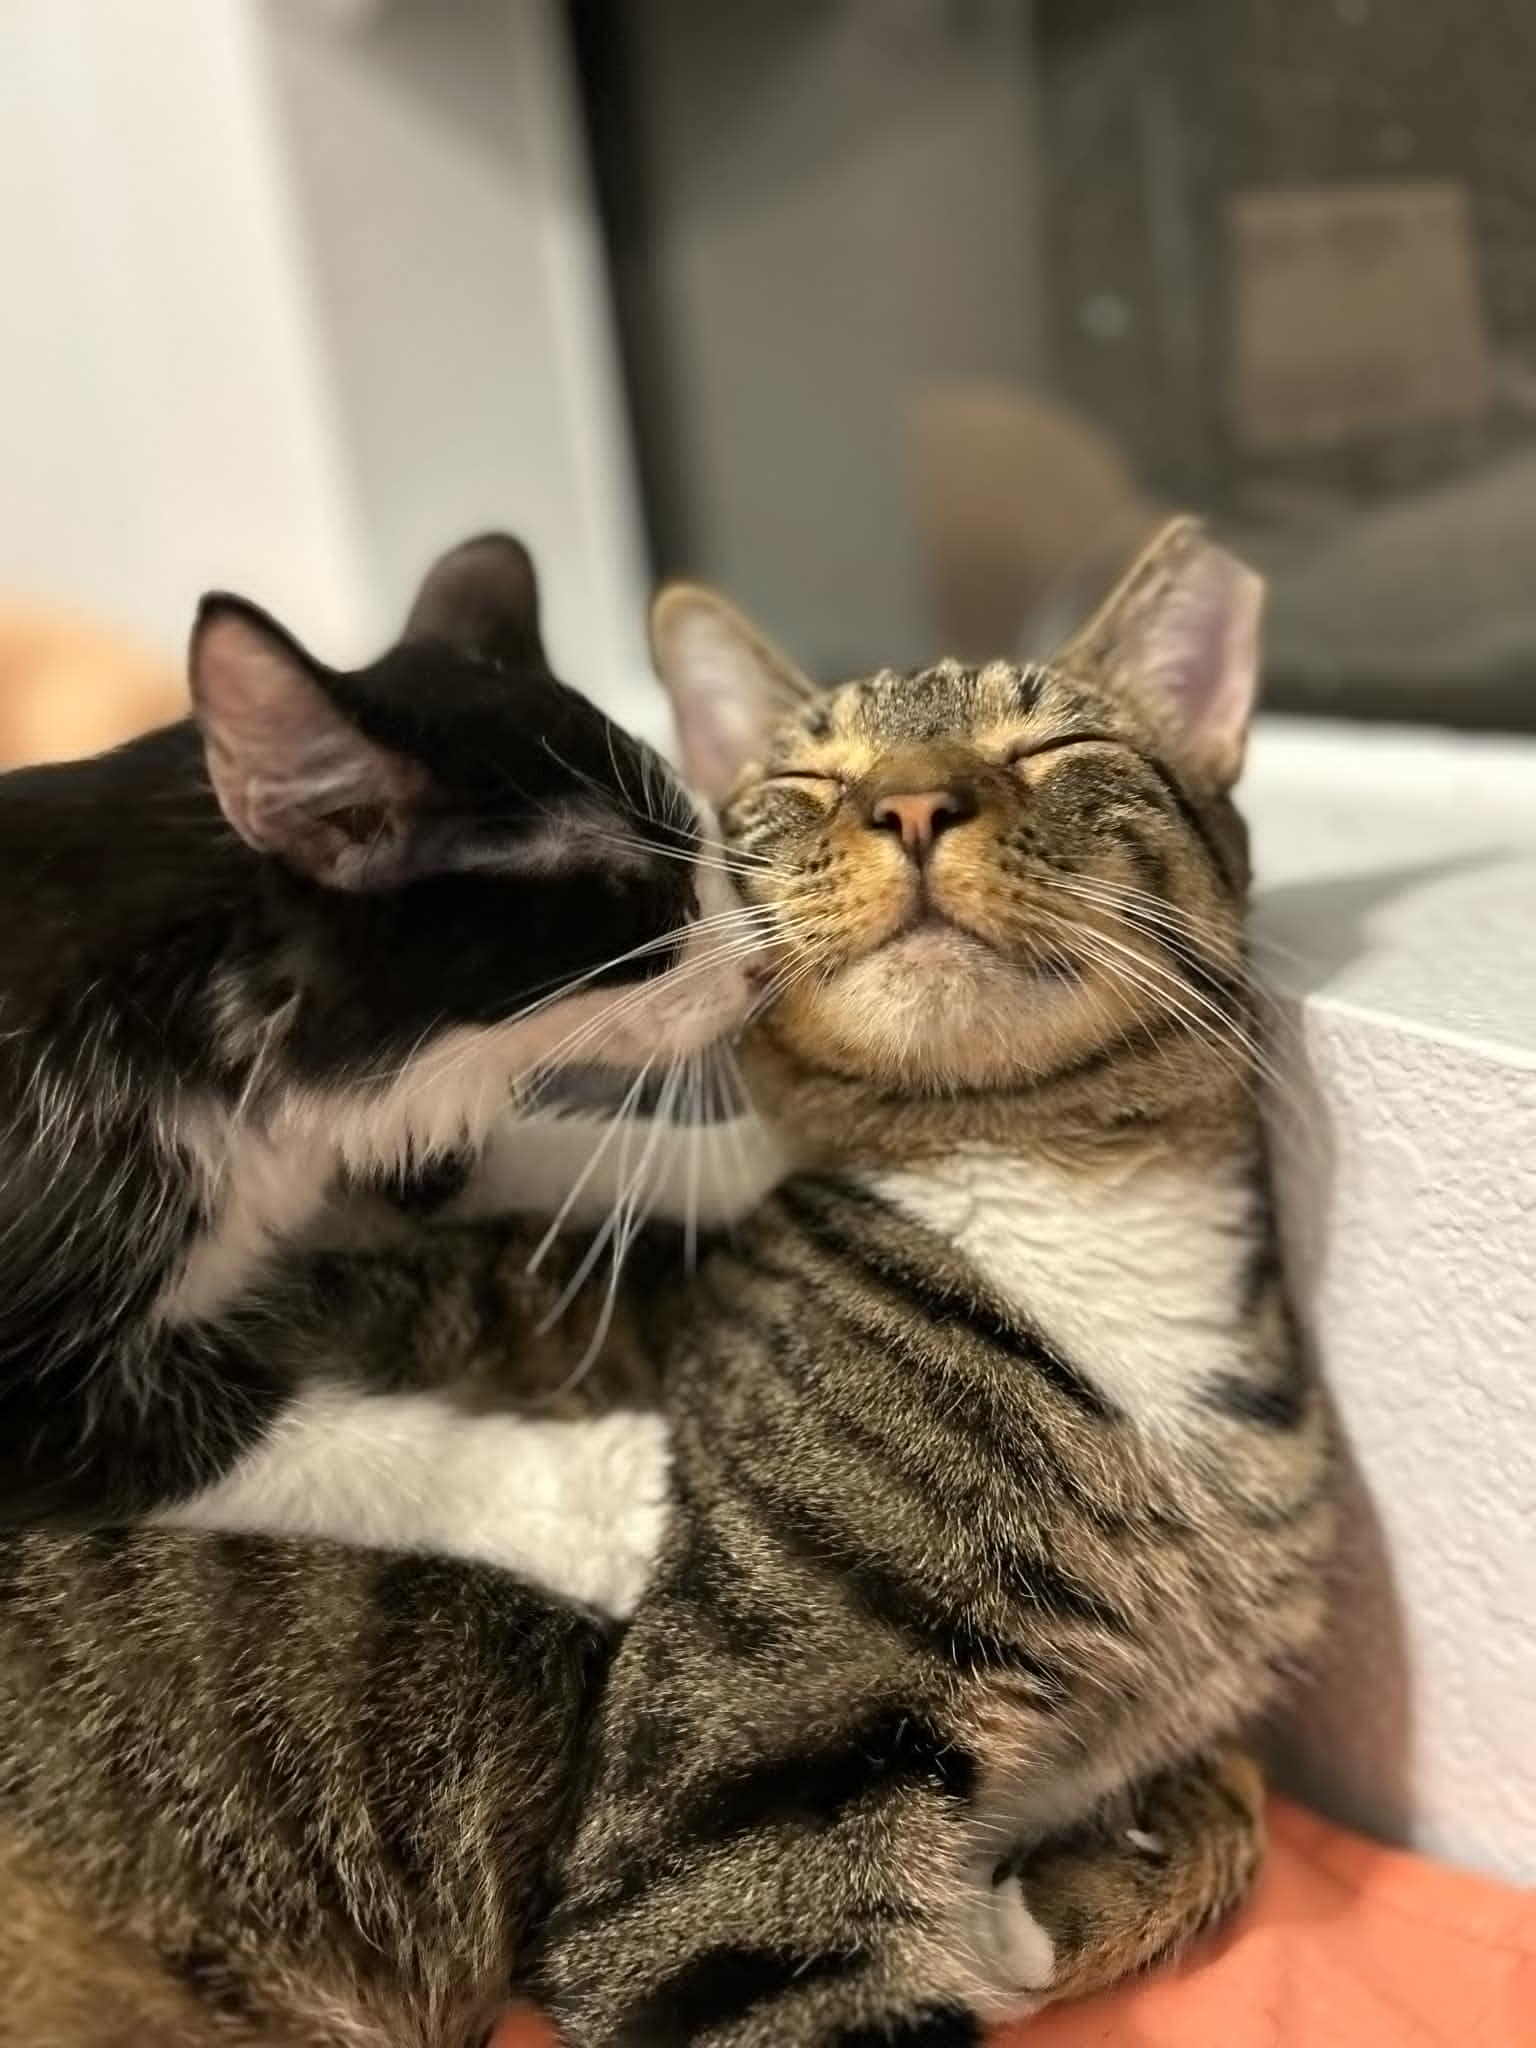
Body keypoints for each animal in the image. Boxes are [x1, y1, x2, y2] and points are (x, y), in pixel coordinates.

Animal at [0, 528, 757, 1540]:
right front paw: (618, 1497)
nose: (759, 970)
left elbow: (510, 1157)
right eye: (643, 896)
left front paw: (760, 1154)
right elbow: (342, 1452)